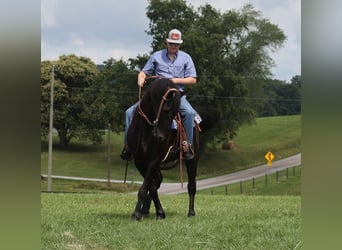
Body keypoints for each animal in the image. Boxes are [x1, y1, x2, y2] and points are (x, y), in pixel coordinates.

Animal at [127, 78, 218, 221]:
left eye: (175, 114)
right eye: (165, 109)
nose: (160, 136)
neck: (145, 130)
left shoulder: (154, 160)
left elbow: (145, 188)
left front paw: (136, 214)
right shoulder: (140, 161)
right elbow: (151, 187)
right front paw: (157, 212)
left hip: (193, 159)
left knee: (191, 185)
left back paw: (191, 212)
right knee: (157, 182)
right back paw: (146, 210)